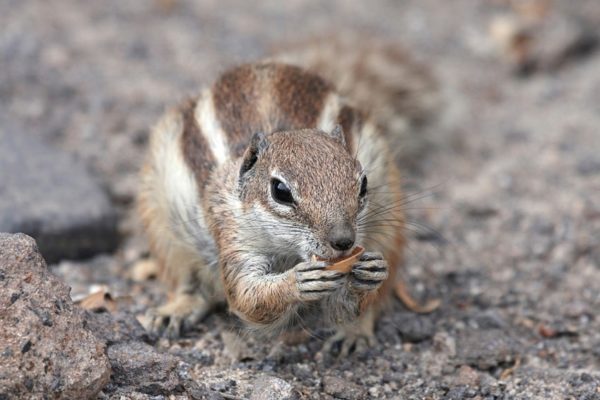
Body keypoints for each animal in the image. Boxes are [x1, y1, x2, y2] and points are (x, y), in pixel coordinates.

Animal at [136, 39, 436, 354]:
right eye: (280, 191)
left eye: (364, 184)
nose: (344, 241)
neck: (287, 251)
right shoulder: (233, 234)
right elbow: (247, 296)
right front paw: (296, 283)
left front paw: (368, 275)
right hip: (160, 219)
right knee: (187, 280)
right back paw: (175, 310)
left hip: (389, 212)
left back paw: (355, 331)